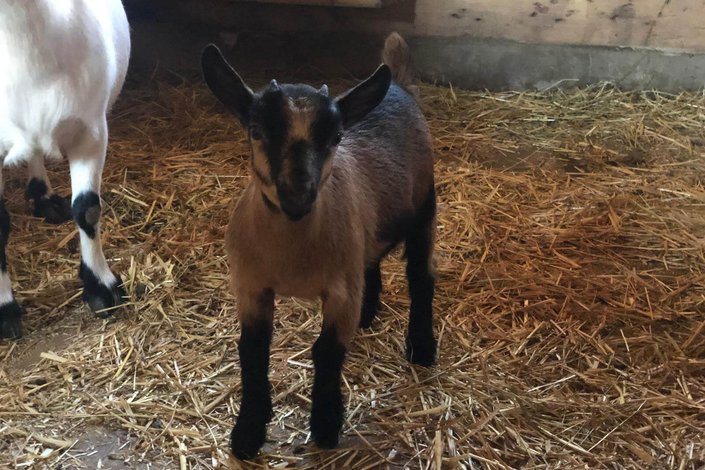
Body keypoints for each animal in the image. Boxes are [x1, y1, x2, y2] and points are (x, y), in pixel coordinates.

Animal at [202, 32, 437, 459]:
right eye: (256, 130)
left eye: (336, 137)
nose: (298, 194)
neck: (292, 256)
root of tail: (399, 86)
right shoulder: (250, 287)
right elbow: (253, 351)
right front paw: (247, 433)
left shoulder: (340, 292)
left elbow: (326, 353)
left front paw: (326, 426)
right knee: (372, 261)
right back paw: (369, 313)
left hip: (426, 208)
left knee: (421, 277)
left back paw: (423, 347)